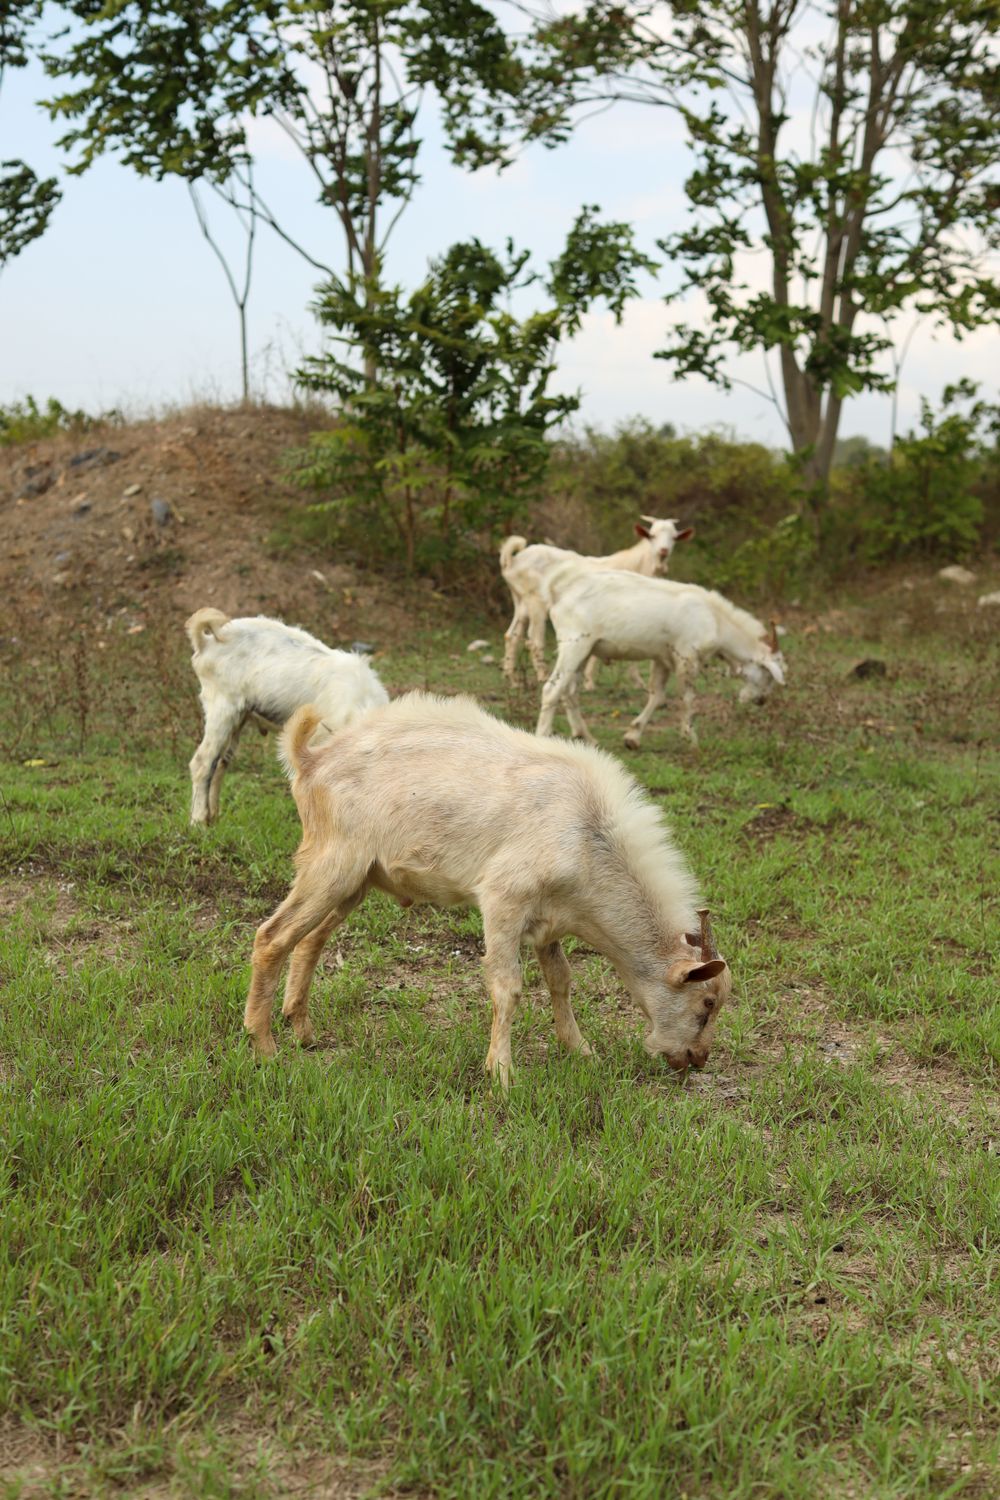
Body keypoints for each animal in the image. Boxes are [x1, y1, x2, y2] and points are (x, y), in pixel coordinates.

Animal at [185, 609, 388, 825]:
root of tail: (208, 641)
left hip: (238, 717)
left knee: (220, 762)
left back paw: (213, 816)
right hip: (221, 707)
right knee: (202, 762)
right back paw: (198, 821)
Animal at [244, 692, 730, 1086]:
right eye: (706, 1003)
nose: (697, 1059)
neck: (589, 837)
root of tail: (311, 760)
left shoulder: (550, 920)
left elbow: (561, 980)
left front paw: (580, 1050)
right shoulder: (503, 899)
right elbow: (507, 986)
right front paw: (501, 1073)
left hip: (354, 881)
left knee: (310, 941)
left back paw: (303, 1032)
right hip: (332, 864)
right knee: (272, 937)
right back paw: (265, 1049)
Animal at [500, 516, 693, 684]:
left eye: (674, 538)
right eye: (652, 536)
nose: (663, 551)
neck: (638, 566)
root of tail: (513, 561)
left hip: (521, 601)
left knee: (512, 635)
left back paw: (512, 679)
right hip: (536, 602)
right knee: (534, 639)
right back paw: (542, 676)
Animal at [535, 570, 786, 748]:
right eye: (768, 675)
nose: (761, 701)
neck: (717, 621)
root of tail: (559, 595)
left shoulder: (662, 658)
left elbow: (657, 695)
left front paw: (633, 736)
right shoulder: (687, 657)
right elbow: (688, 697)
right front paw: (691, 737)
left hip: (586, 649)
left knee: (569, 691)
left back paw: (586, 737)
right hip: (574, 643)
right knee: (552, 688)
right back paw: (543, 737)